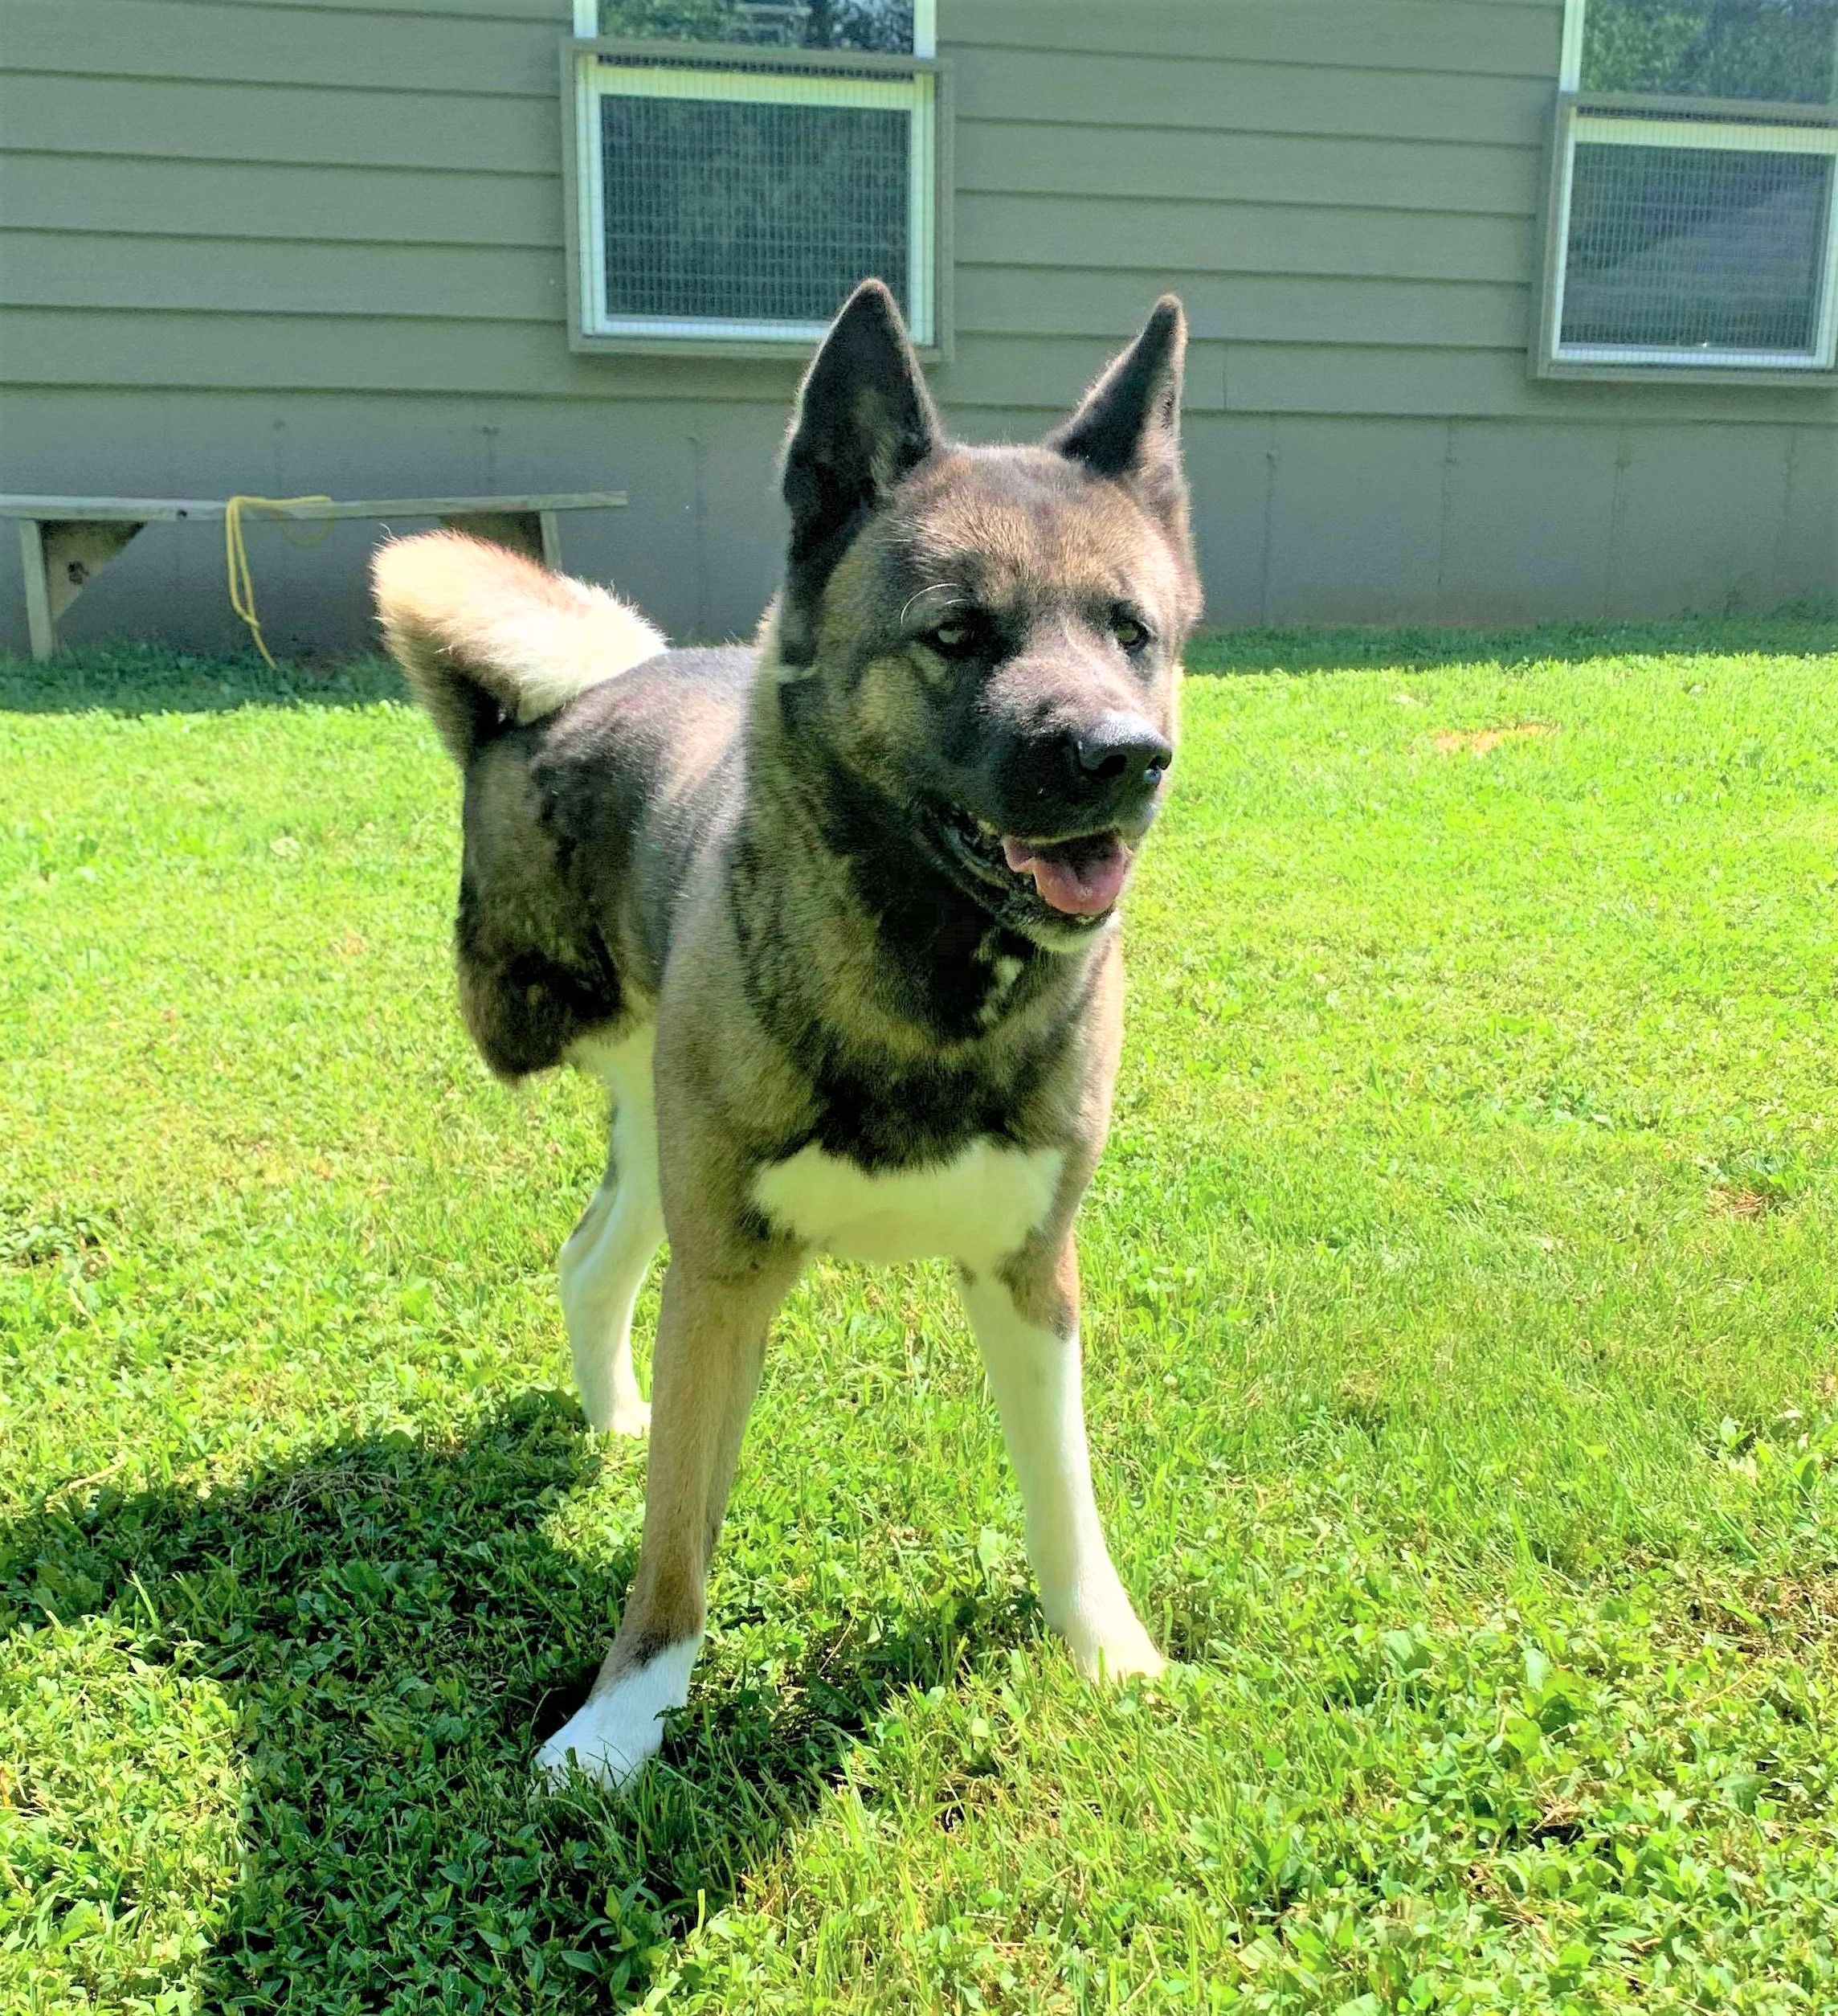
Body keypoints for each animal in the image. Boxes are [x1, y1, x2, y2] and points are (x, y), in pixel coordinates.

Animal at [373, 276, 1209, 1789]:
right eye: (955, 632)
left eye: (1131, 631)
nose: (1123, 758)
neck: (929, 976)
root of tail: (569, 697)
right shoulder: (728, 1278)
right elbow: (673, 1550)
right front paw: (621, 1722)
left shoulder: (1030, 1274)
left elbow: (1062, 1491)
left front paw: (1105, 1652)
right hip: (589, 1066)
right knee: (600, 1249)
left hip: (664, 1146)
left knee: (594, 1253)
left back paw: (611, 1419)